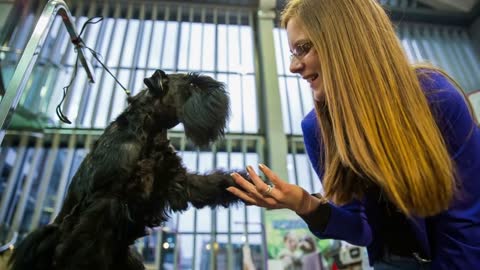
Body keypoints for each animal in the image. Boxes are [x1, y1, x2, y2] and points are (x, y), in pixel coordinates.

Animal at [9, 70, 249, 270]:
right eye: (191, 83)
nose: (222, 91)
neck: (149, 131)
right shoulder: (106, 202)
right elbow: (85, 248)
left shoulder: (177, 180)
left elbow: (212, 184)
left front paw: (242, 182)